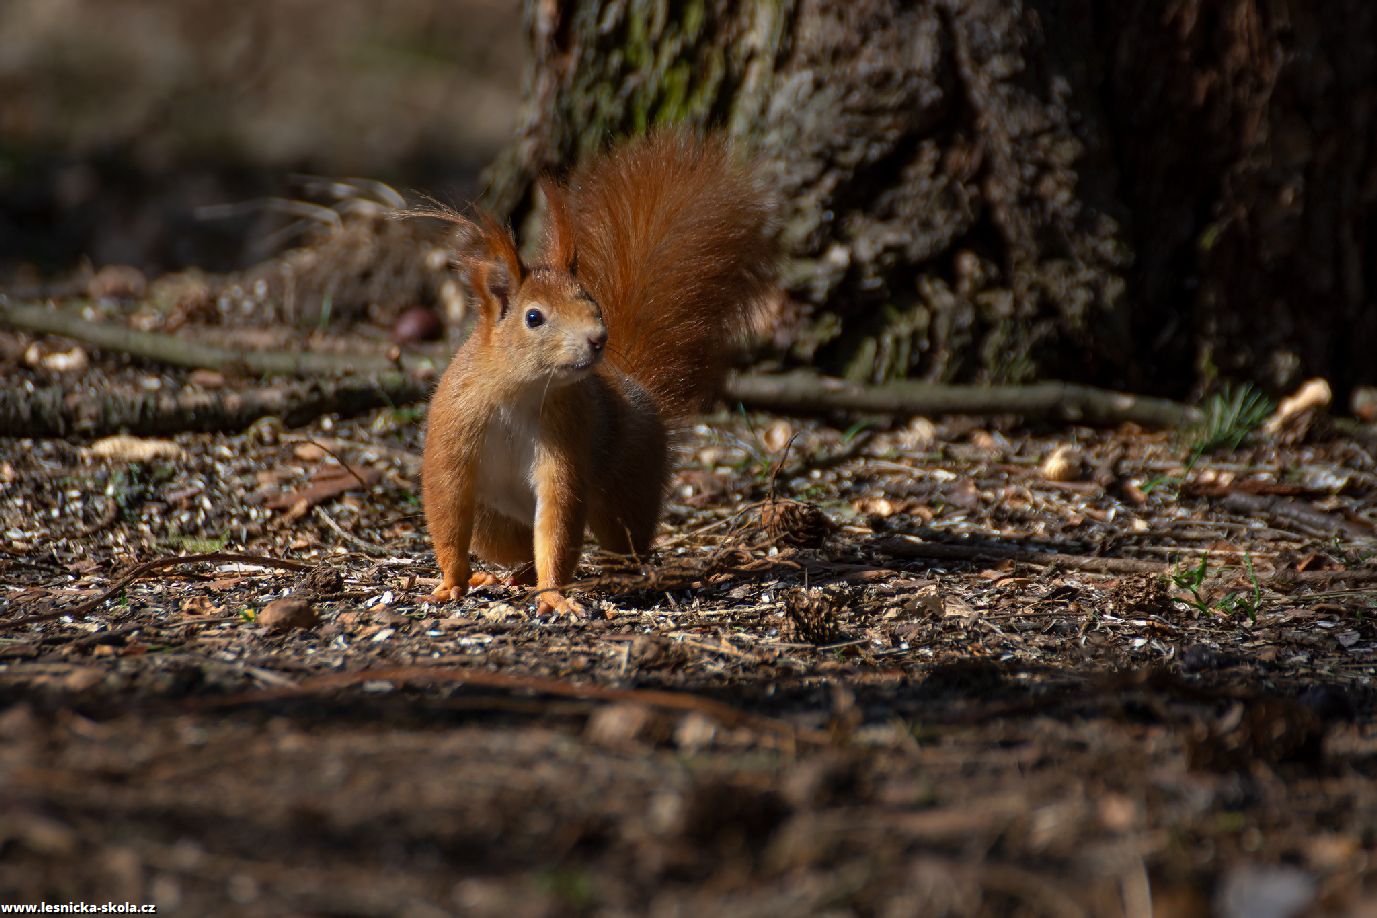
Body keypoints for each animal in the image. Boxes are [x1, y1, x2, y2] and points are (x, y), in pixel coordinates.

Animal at [418, 127, 782, 616]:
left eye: (590, 299)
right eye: (534, 317)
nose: (598, 338)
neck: (520, 392)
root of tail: (633, 384)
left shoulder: (566, 438)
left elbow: (558, 521)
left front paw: (554, 595)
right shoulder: (454, 431)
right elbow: (448, 511)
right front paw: (451, 582)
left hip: (629, 486)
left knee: (622, 540)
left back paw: (621, 574)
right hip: (494, 524)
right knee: (515, 547)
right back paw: (504, 576)